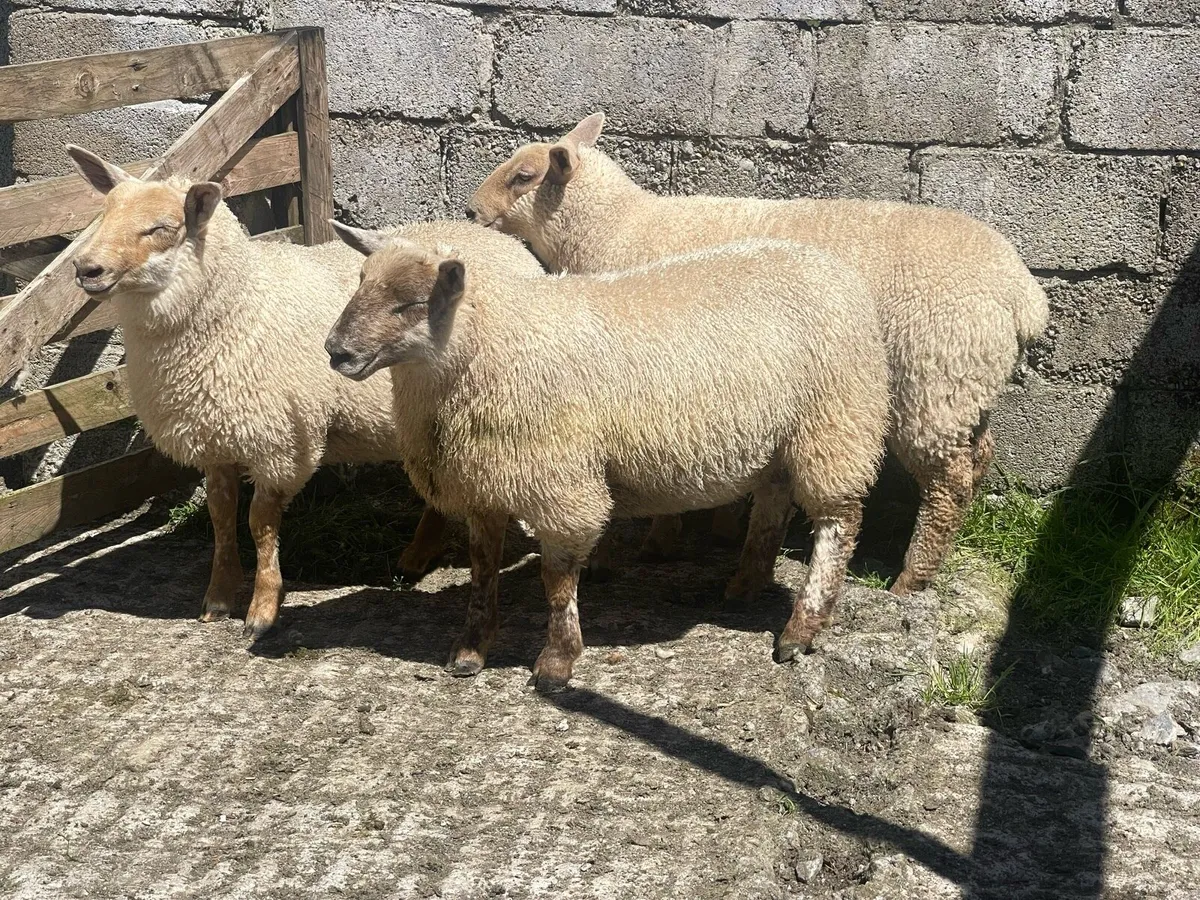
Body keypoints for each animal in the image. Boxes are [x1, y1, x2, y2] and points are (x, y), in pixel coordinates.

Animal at [63, 146, 540, 636]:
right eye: (103, 214)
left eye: (160, 228)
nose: (86, 269)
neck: (237, 305)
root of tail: (507, 244)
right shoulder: (215, 437)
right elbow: (220, 515)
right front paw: (218, 596)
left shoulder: (280, 445)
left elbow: (259, 523)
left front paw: (262, 608)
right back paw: (416, 556)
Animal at [324, 225, 890, 690]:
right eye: (360, 281)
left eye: (411, 303)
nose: (334, 350)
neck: (488, 343)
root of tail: (837, 268)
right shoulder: (483, 483)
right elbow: (483, 571)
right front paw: (470, 651)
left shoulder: (560, 483)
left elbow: (557, 579)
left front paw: (557, 662)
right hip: (781, 437)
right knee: (772, 506)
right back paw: (744, 586)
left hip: (836, 422)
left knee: (837, 524)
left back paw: (800, 629)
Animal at [468, 113, 1050, 596]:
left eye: (523, 176)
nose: (470, 211)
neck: (615, 229)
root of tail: (1023, 295)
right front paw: (719, 529)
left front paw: (661, 539)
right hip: (966, 385)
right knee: (978, 458)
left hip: (933, 378)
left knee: (948, 480)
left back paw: (911, 579)